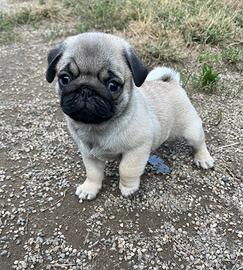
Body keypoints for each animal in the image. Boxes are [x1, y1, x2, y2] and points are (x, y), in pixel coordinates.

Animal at [46, 32, 215, 200]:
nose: (86, 90)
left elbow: (126, 169)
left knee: (199, 143)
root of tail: (171, 83)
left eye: (113, 86)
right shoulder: (89, 154)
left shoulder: (136, 149)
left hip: (192, 130)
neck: (97, 127)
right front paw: (89, 188)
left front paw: (128, 188)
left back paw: (203, 159)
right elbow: (93, 173)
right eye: (65, 79)